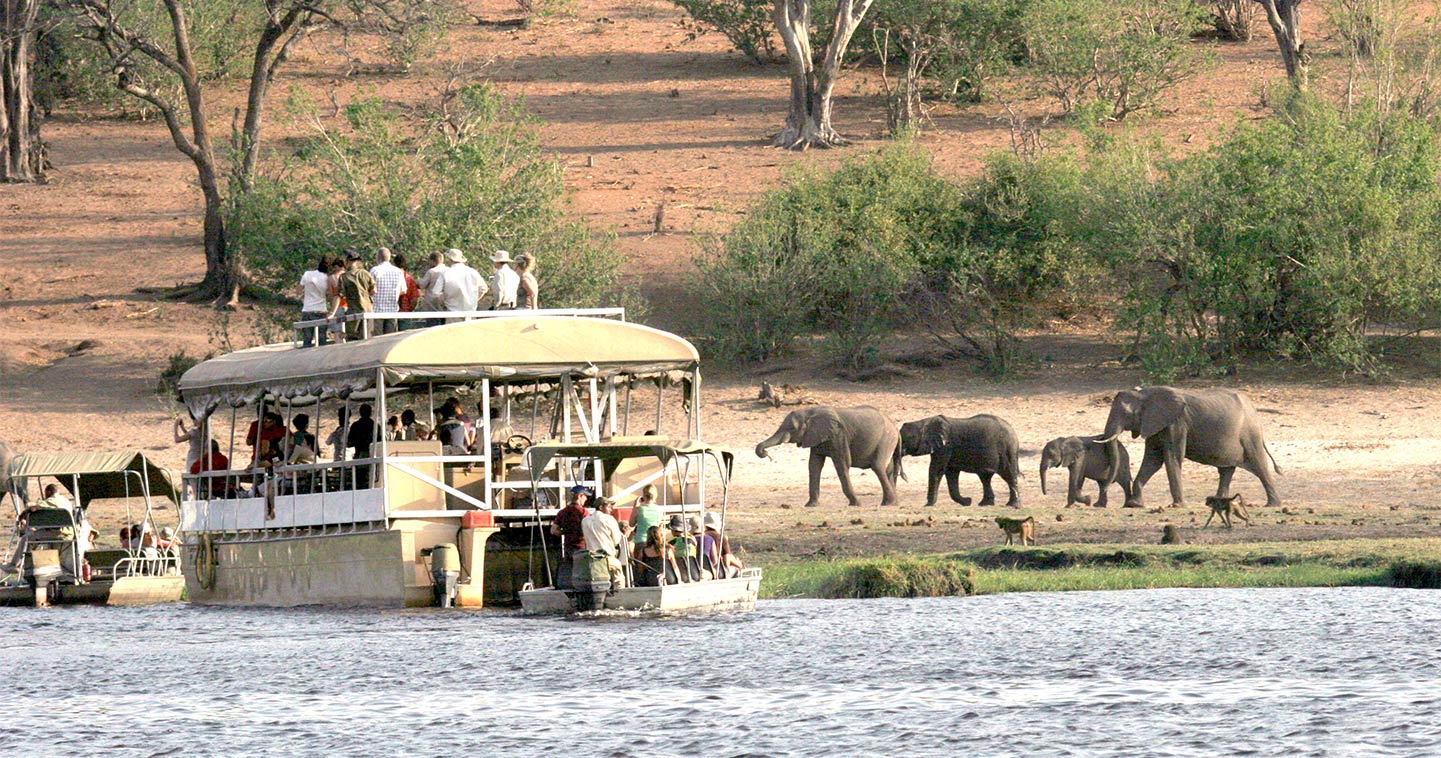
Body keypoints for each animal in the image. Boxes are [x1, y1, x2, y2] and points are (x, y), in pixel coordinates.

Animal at [755, 406, 899, 507]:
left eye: (792, 428)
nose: (765, 453)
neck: (810, 412)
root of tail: (895, 427)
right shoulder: (815, 437)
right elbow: (814, 465)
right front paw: (810, 505)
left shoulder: (838, 436)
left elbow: (842, 464)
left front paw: (856, 504)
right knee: (888, 469)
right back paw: (892, 503)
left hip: (886, 439)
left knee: (878, 466)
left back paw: (888, 503)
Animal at [1100, 389, 1285, 507]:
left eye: (1125, 414)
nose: (1102, 499)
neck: (1144, 395)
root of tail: (1255, 411)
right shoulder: (1155, 425)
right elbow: (1153, 460)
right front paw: (1135, 505)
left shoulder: (1177, 424)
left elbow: (1172, 457)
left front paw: (1177, 505)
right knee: (1226, 470)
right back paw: (1218, 503)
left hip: (1250, 435)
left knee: (1259, 465)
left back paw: (1273, 505)